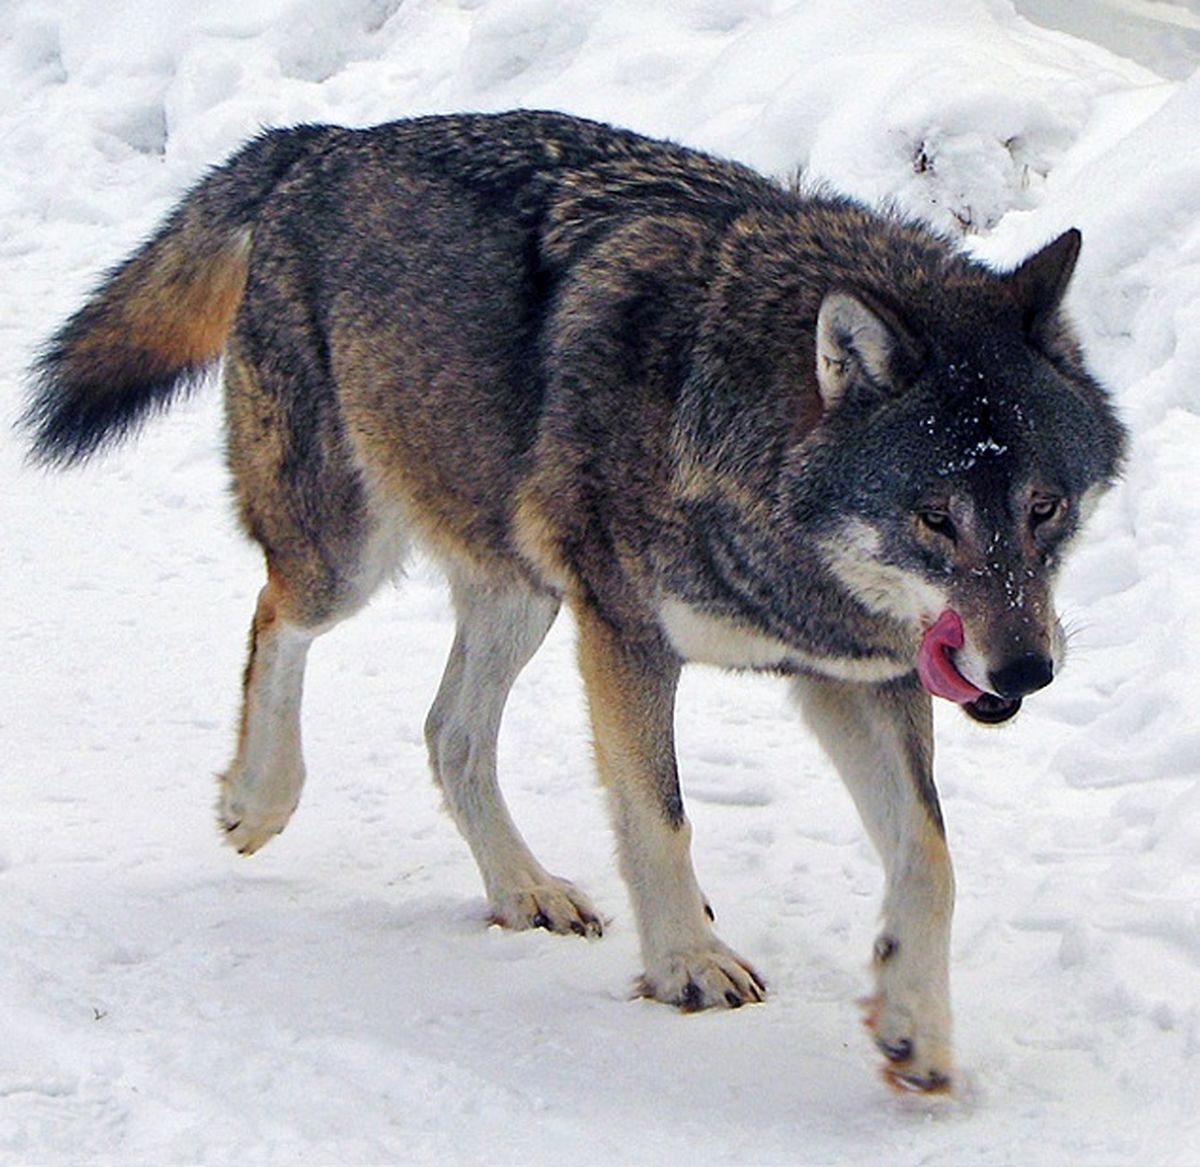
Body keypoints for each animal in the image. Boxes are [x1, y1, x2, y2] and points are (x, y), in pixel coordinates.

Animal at [21, 105, 1123, 1090]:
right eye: (937, 517)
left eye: (1045, 507)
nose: (1027, 671)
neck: (727, 430)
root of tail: (324, 140)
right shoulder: (626, 636)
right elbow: (660, 817)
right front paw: (687, 964)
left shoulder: (858, 676)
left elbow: (930, 860)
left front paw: (914, 1026)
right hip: (353, 558)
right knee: (274, 618)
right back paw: (258, 800)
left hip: (520, 591)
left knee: (448, 732)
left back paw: (523, 888)